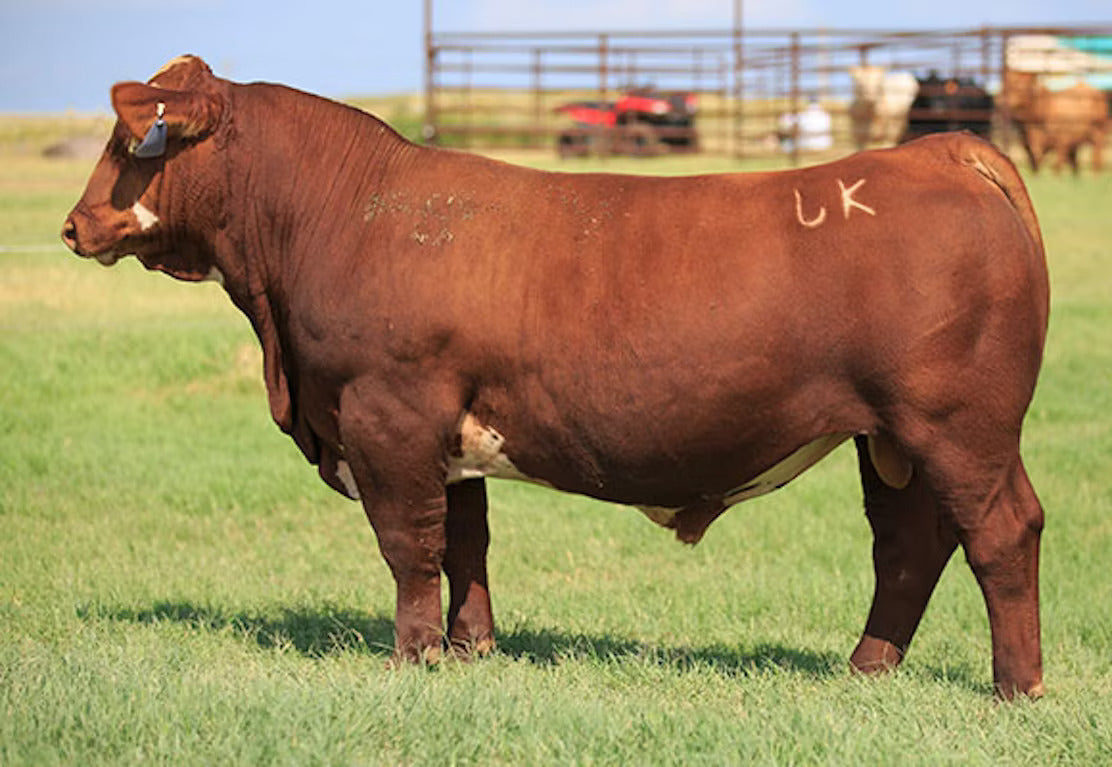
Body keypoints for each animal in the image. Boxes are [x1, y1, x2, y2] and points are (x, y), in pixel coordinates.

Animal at [63, 56, 1049, 699]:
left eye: (129, 138)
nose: (75, 225)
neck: (339, 214)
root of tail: (935, 152)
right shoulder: (446, 436)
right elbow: (464, 544)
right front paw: (471, 650)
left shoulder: (388, 415)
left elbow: (408, 546)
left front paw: (409, 658)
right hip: (891, 441)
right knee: (911, 546)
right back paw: (866, 669)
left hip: (957, 426)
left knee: (1001, 532)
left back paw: (1017, 687)